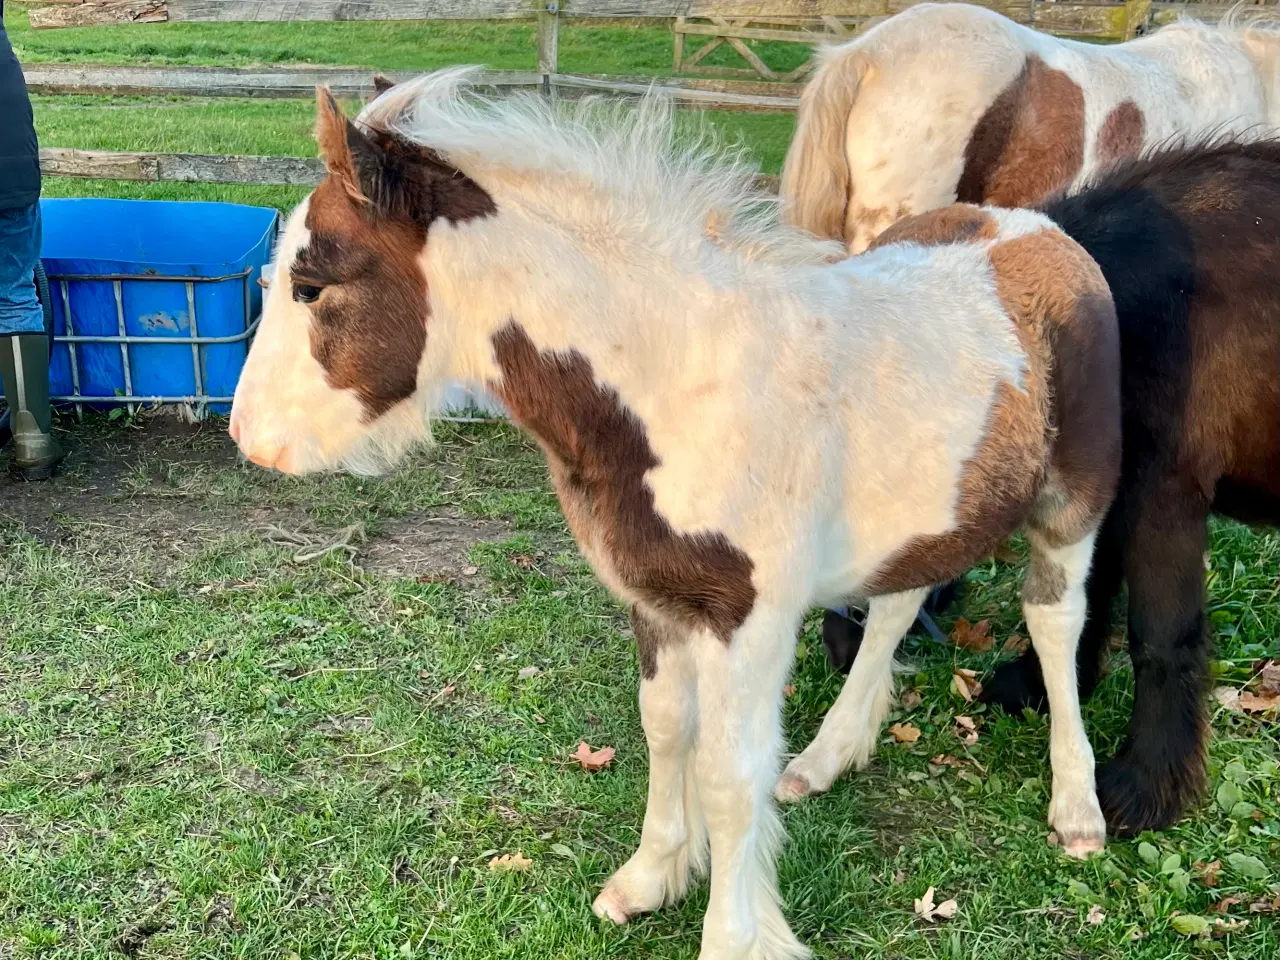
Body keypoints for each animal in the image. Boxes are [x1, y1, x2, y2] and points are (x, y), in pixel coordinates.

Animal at [230, 71, 1121, 957]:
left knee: (1054, 619)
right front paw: (650, 877)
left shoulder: (748, 618)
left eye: (311, 287)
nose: (249, 438)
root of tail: (1035, 228)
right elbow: (665, 728)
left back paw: (1077, 806)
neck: (677, 381)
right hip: (926, 506)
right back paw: (828, 756)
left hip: (1073, 503)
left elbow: (729, 778)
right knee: (901, 601)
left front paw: (732, 933)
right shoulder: (655, 598)